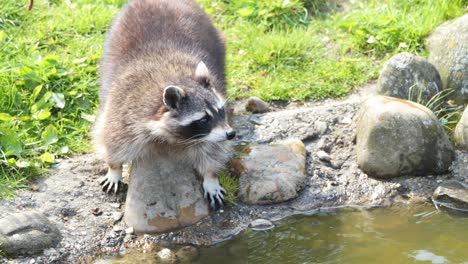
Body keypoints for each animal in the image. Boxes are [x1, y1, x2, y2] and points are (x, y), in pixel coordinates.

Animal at [93, 0, 236, 209]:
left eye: (221, 111)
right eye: (203, 119)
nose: (231, 134)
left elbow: (213, 150)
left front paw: (211, 176)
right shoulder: (122, 111)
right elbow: (112, 139)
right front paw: (114, 167)